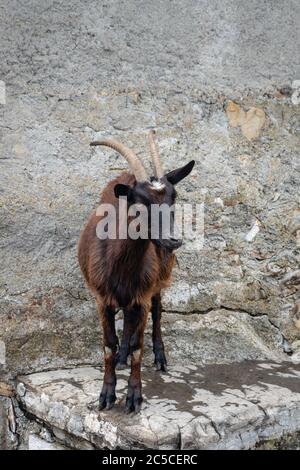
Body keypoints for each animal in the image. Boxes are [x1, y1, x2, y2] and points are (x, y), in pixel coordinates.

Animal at [77, 131, 195, 412]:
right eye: (141, 202)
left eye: (173, 197)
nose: (173, 240)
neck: (121, 265)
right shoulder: (102, 299)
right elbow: (108, 345)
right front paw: (106, 395)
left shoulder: (143, 295)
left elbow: (138, 347)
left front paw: (133, 397)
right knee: (128, 322)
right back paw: (122, 359)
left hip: (158, 280)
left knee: (157, 312)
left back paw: (160, 356)